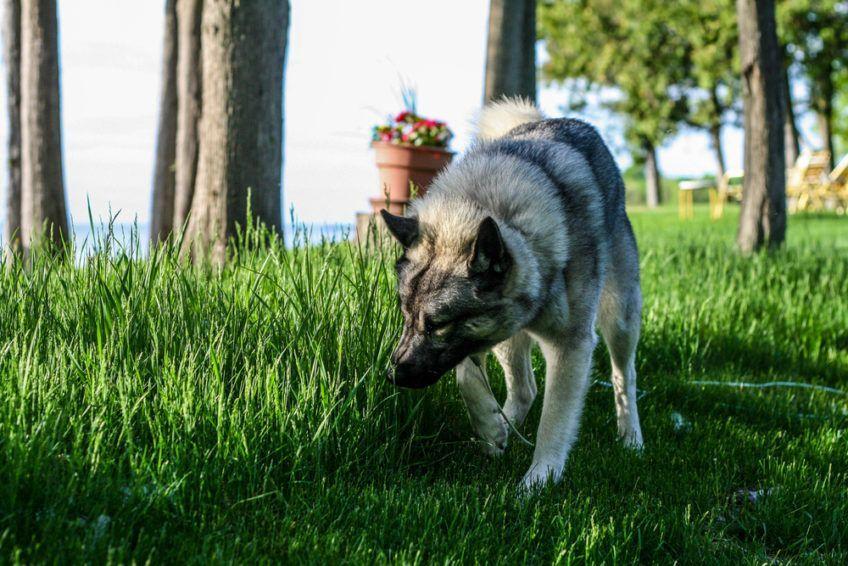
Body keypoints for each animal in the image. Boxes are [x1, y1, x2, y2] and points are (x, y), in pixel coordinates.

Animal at [382, 100, 644, 490]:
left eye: (438, 324)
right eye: (406, 317)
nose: (393, 376)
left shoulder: (570, 346)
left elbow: (554, 421)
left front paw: (538, 482)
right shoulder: (480, 333)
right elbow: (466, 374)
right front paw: (490, 427)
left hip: (620, 317)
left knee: (623, 376)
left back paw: (631, 438)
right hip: (508, 338)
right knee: (524, 388)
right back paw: (501, 428)